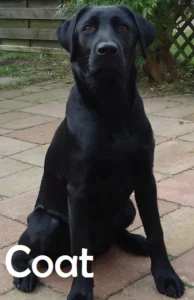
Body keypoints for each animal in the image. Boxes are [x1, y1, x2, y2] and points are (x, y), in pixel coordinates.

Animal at [12, 5, 185, 300]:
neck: (110, 107)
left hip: (127, 207)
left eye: (124, 27)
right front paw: (81, 292)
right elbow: (80, 247)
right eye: (88, 28)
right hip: (45, 222)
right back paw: (24, 275)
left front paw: (166, 277)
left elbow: (156, 232)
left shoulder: (145, 180)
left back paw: (136, 242)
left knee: (117, 233)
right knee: (22, 252)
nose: (107, 50)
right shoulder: (78, 191)